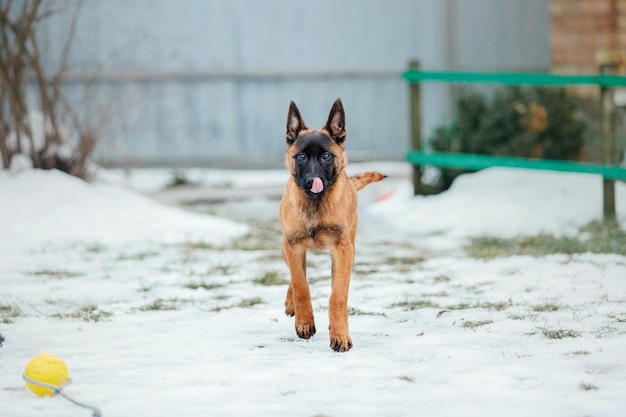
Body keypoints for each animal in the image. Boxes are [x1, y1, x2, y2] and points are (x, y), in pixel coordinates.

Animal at [280, 97, 386, 352]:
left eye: (326, 156)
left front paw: (339, 334)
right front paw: (304, 321)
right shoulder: (293, 245)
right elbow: (300, 285)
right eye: (301, 157)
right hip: (285, 246)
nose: (312, 181)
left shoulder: (343, 250)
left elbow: (338, 295)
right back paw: (291, 305)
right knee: (294, 276)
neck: (316, 205)